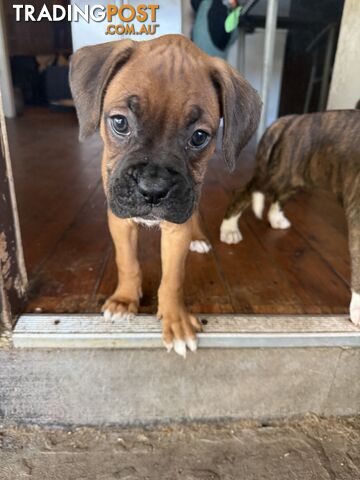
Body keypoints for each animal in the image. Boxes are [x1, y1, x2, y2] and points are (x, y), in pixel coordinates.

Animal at [69, 34, 262, 356]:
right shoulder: (120, 219)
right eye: (120, 122)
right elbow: (127, 261)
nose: (153, 189)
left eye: (199, 137)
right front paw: (125, 300)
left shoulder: (177, 224)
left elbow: (172, 278)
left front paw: (176, 321)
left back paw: (198, 238)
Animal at [219, 109, 360, 326]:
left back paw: (276, 219)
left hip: (297, 175)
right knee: (243, 192)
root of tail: (292, 118)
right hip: (277, 173)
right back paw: (229, 229)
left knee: (279, 195)